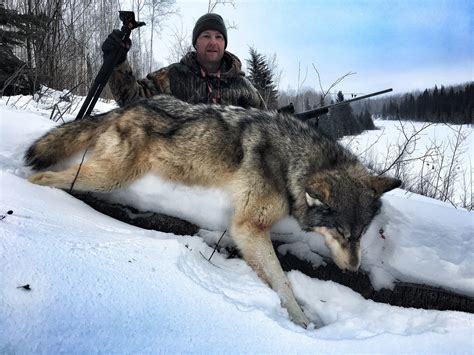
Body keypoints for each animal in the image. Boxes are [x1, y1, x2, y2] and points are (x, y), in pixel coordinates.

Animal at [25, 94, 400, 328]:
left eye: (360, 236)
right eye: (341, 233)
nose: (353, 269)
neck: (292, 161)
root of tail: (129, 106)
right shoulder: (248, 227)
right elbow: (282, 281)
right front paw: (302, 320)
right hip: (109, 178)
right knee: (41, 178)